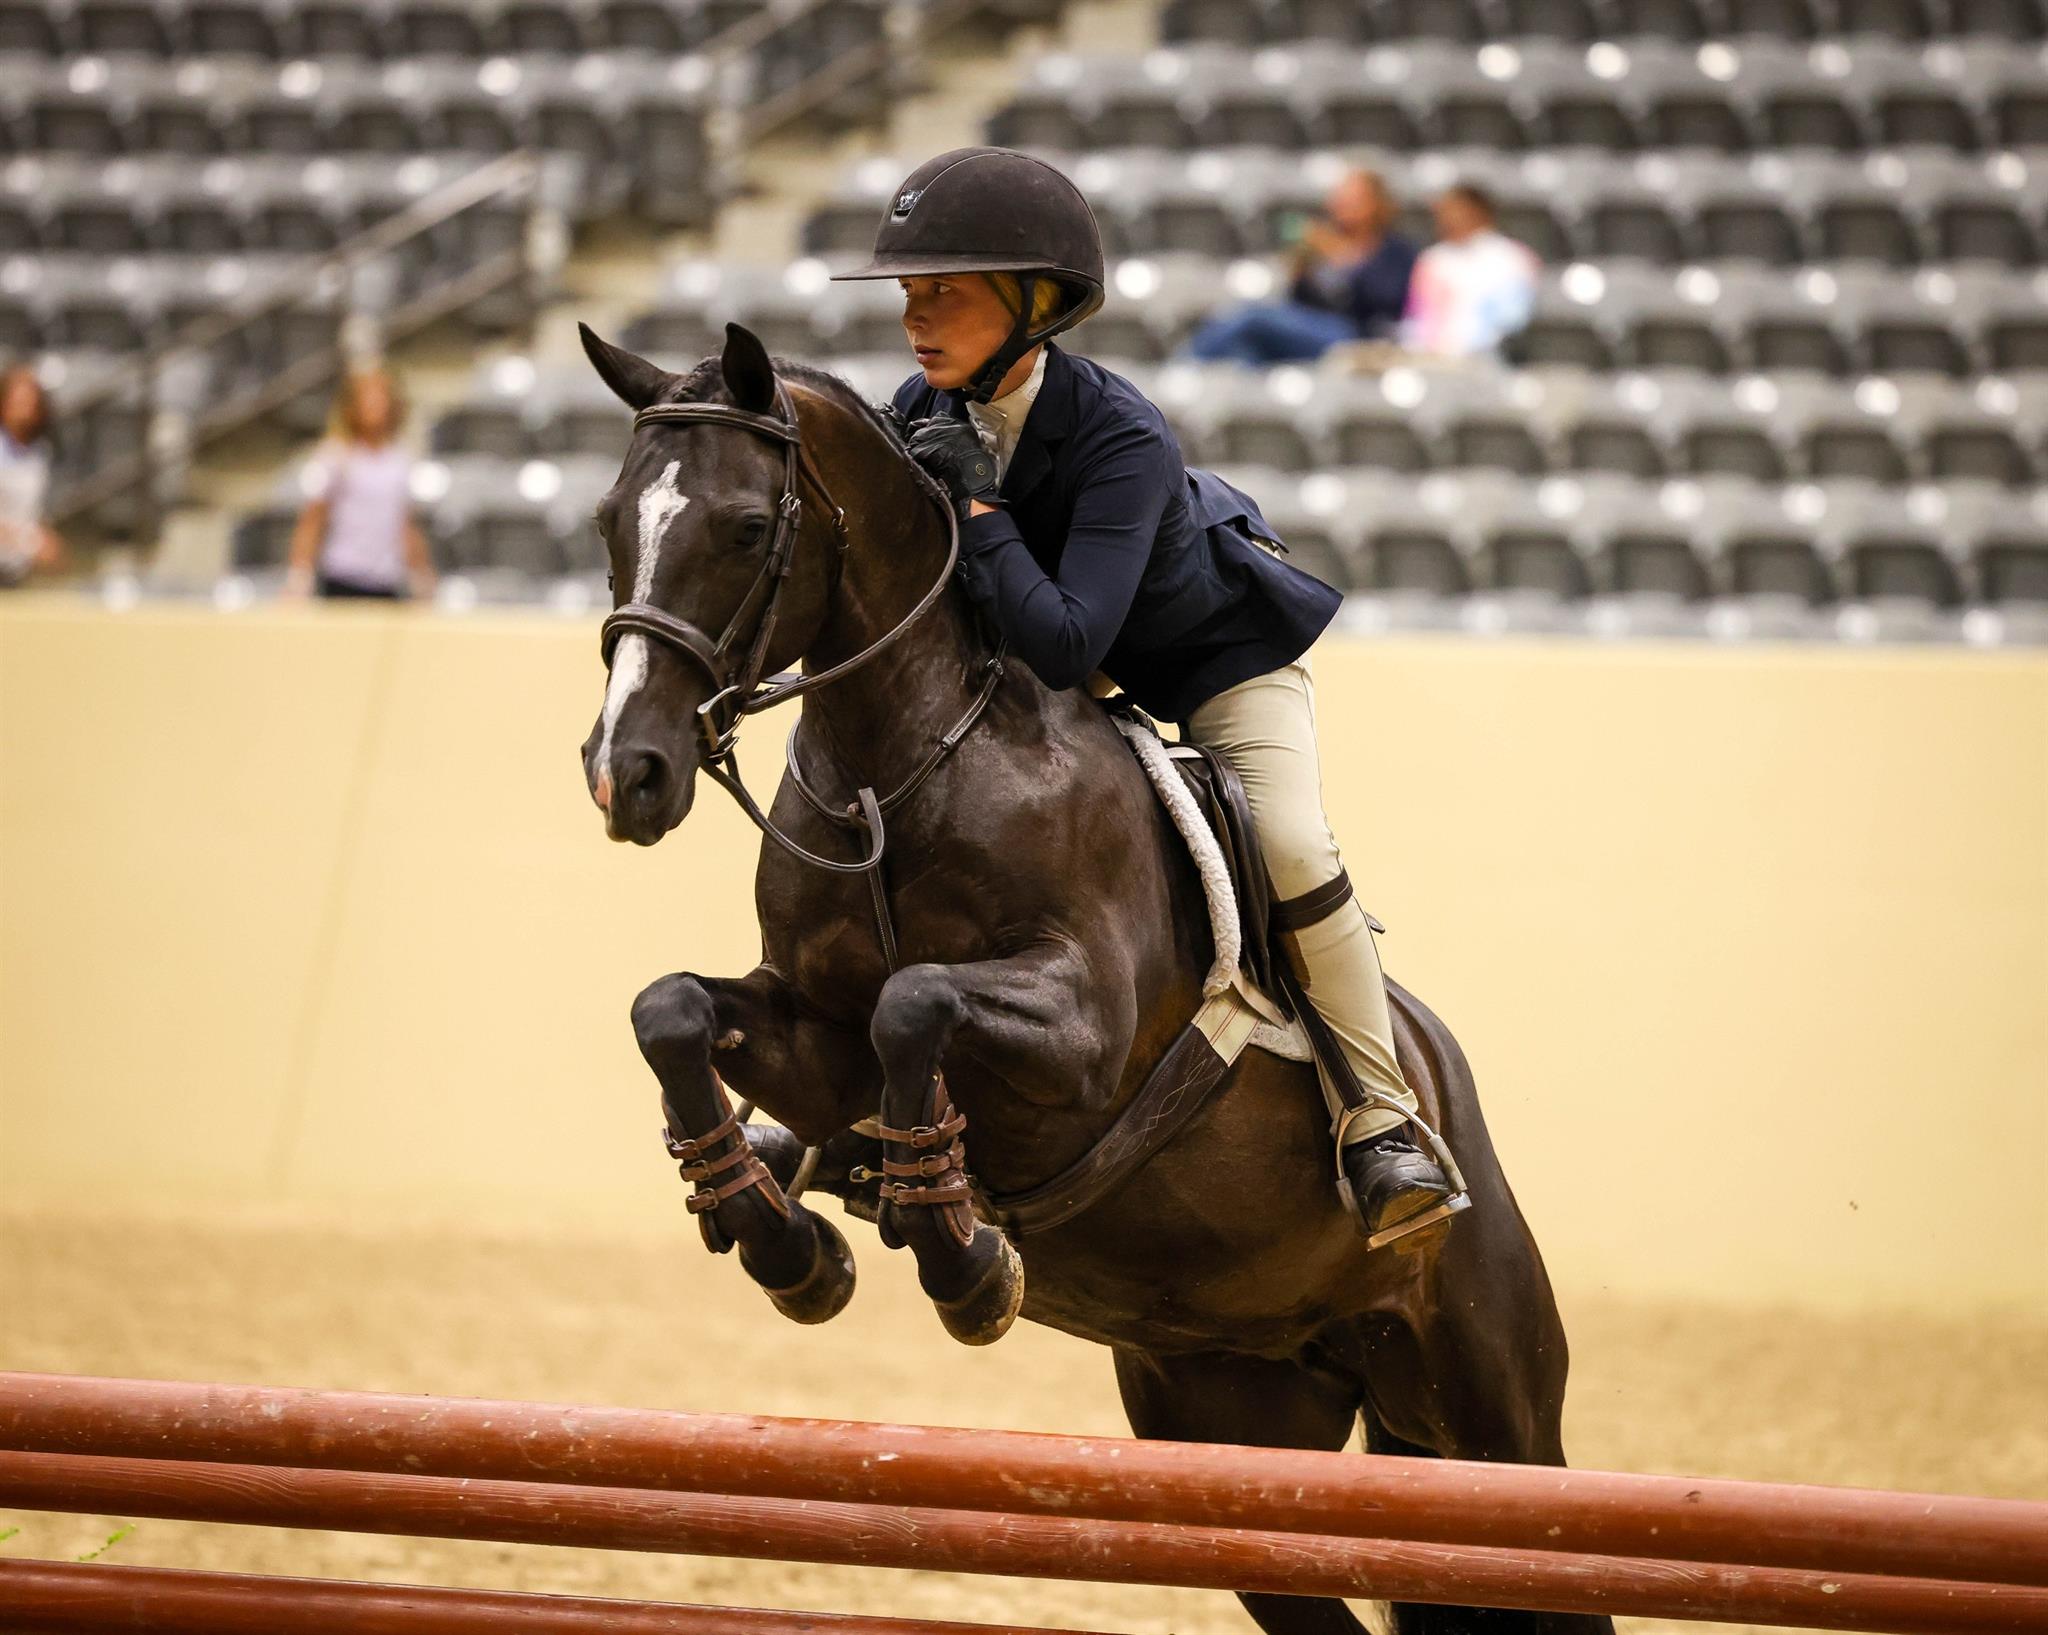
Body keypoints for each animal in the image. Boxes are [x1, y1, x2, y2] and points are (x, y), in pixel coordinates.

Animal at [577, 318, 1610, 1635]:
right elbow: (672, 1010)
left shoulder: (1079, 1039)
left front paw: (965, 1262)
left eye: (749, 528)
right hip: (1229, 1433)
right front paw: (787, 1245)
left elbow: (916, 1003)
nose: (627, 773)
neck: (899, 766)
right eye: (610, 521)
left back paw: (1394, 1165)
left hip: (1497, 1424)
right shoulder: (813, 1038)